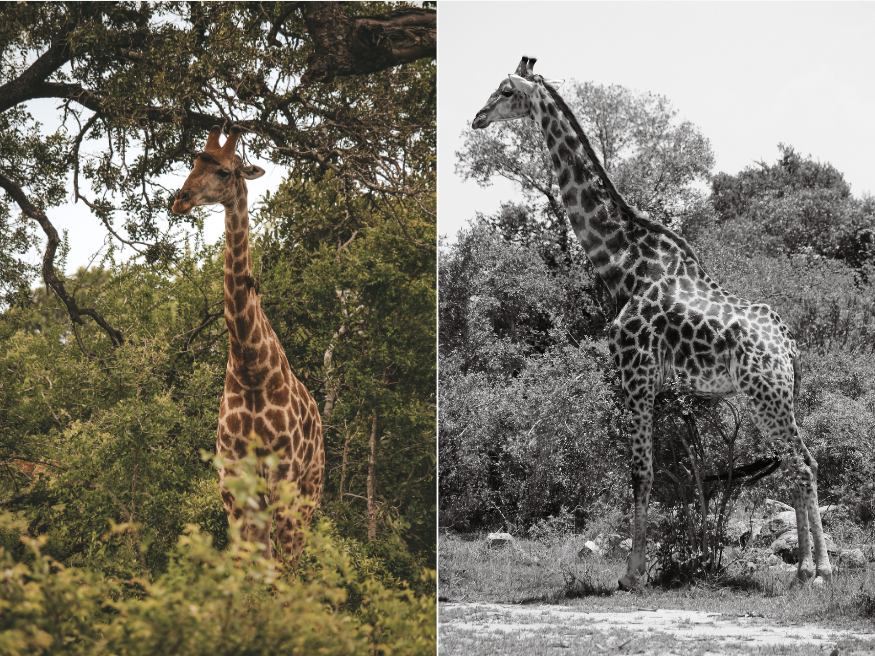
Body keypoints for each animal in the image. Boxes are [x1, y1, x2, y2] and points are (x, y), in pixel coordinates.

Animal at [172, 125, 324, 564]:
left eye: (224, 171)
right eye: (194, 161)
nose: (179, 200)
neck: (250, 364)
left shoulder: (282, 474)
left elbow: (278, 565)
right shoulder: (232, 480)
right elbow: (248, 561)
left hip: (311, 488)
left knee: (295, 555)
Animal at [472, 57, 832, 589]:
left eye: (504, 90)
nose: (477, 117)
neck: (624, 265)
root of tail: (790, 346)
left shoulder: (636, 374)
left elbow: (641, 472)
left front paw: (632, 575)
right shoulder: (655, 383)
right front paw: (638, 568)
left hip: (765, 393)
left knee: (804, 463)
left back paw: (820, 567)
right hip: (772, 395)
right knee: (796, 461)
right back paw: (804, 568)